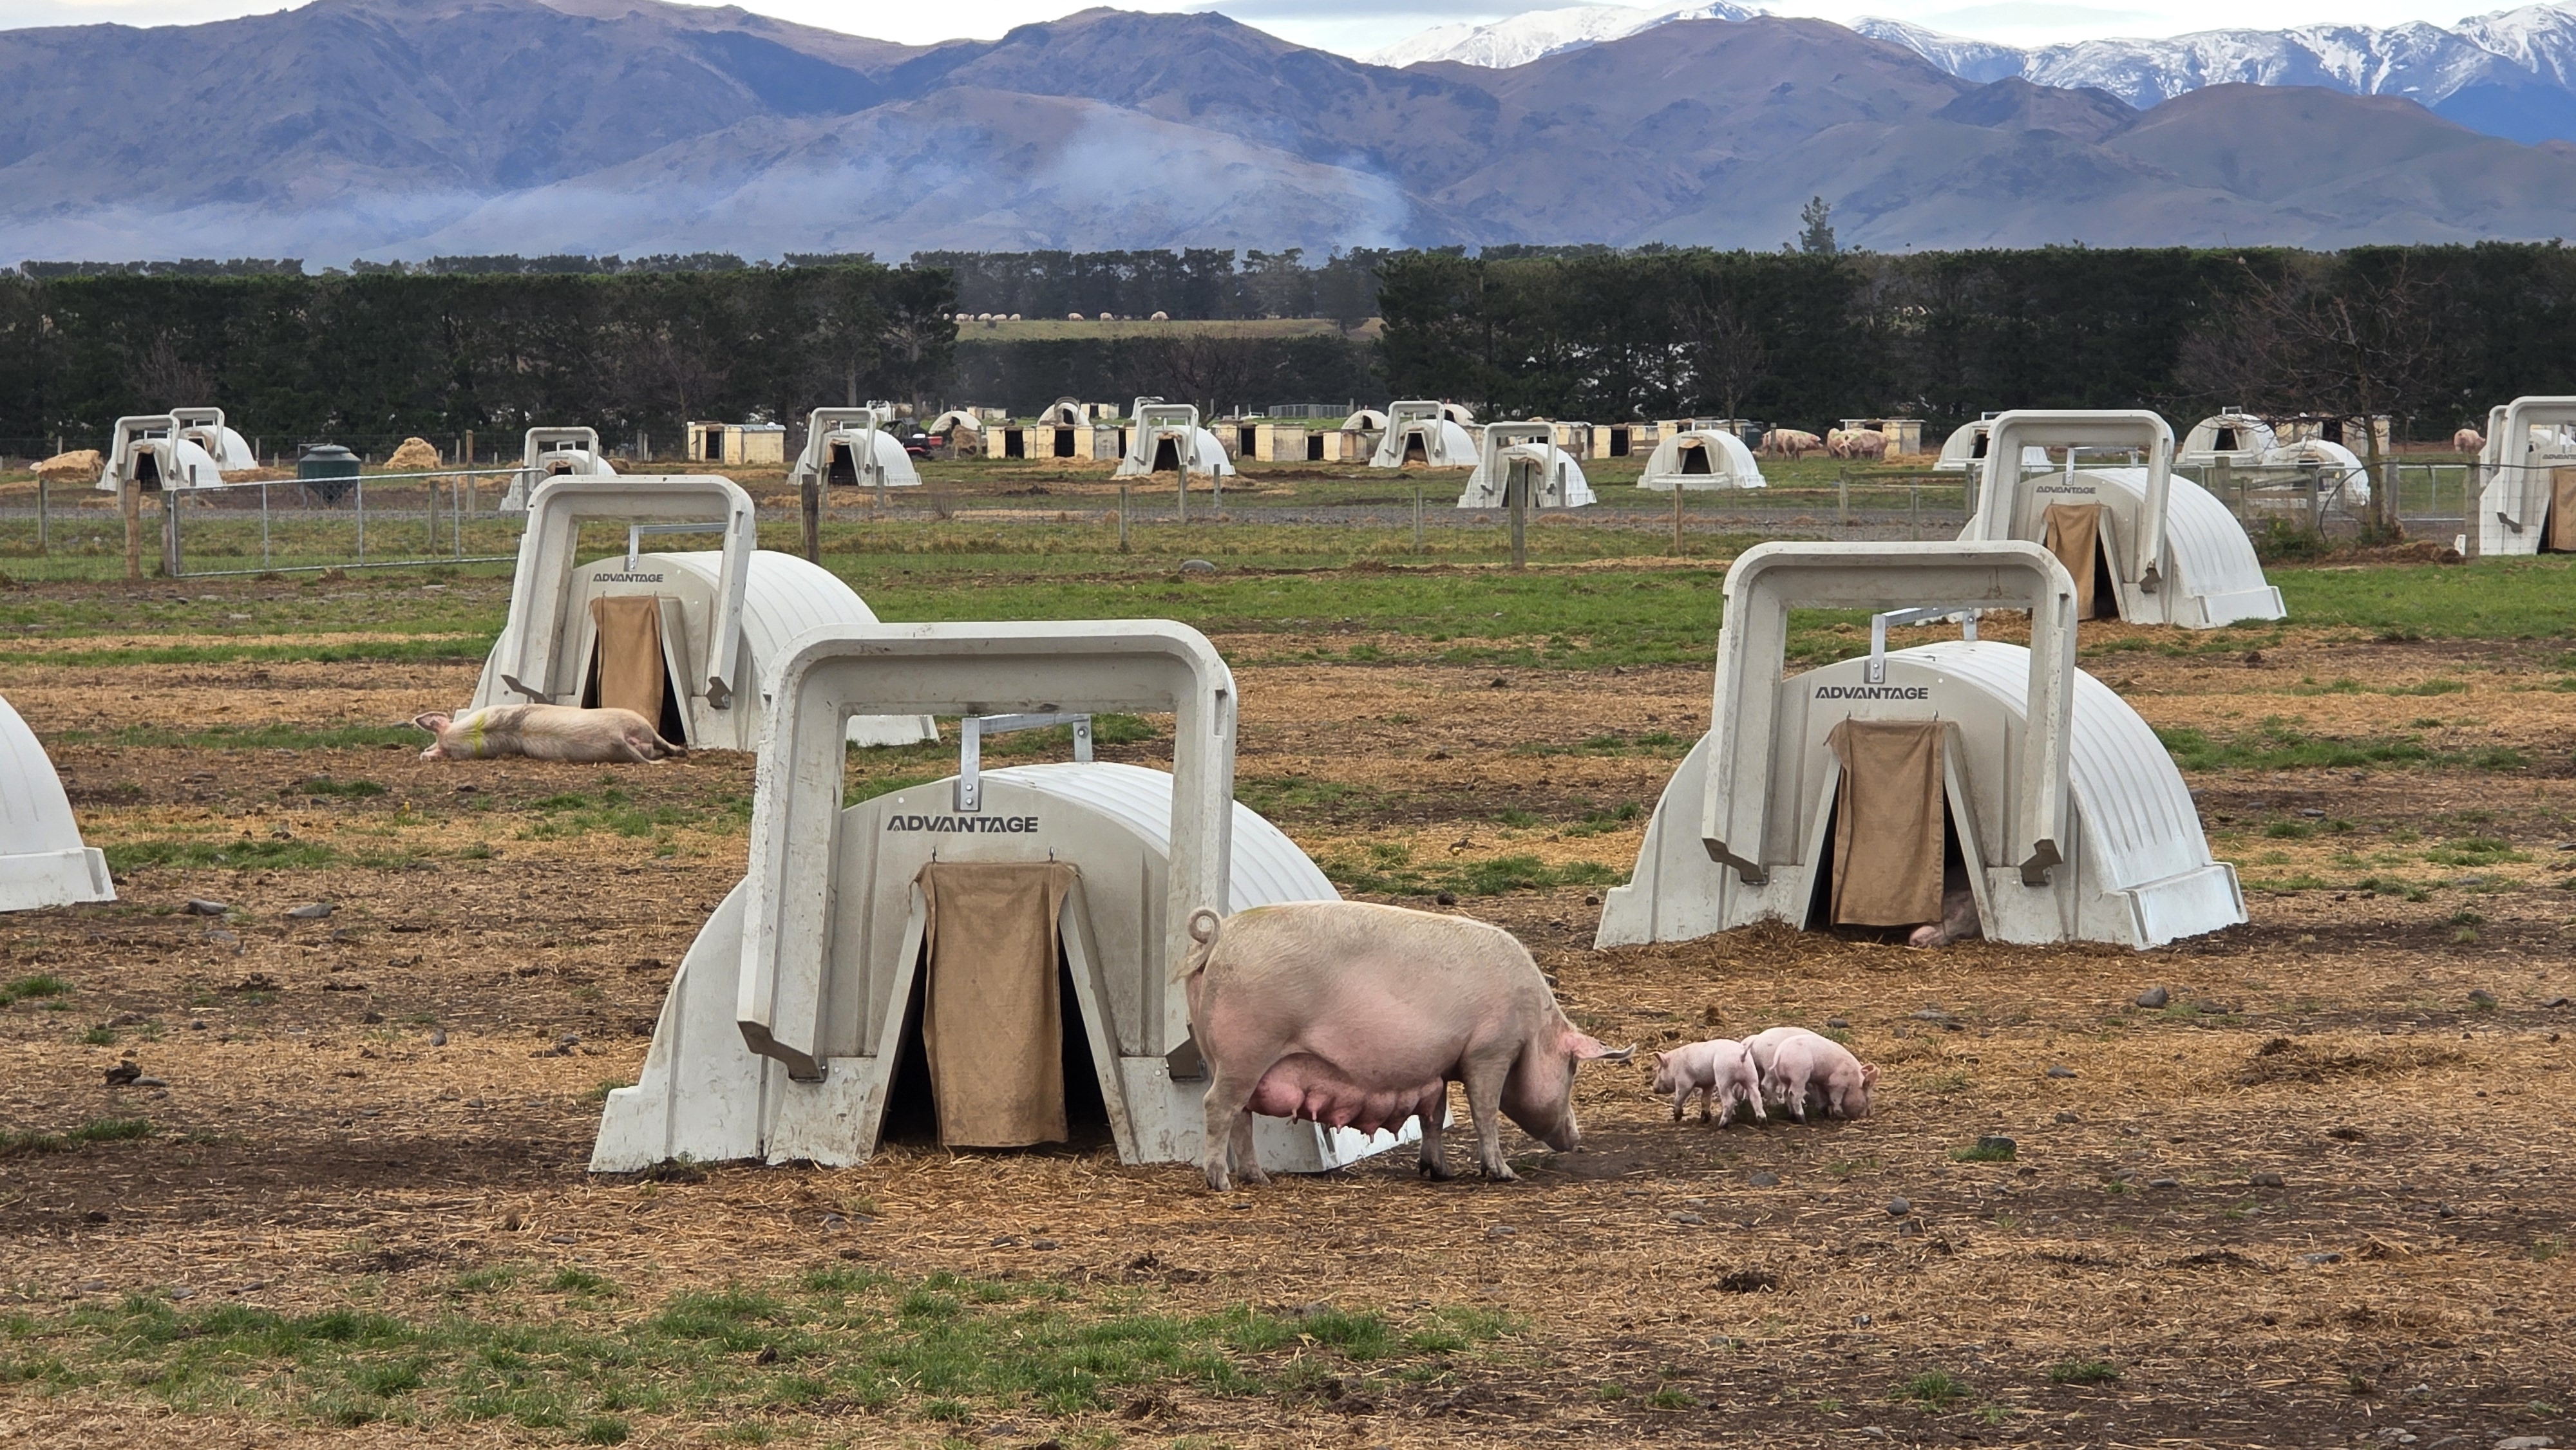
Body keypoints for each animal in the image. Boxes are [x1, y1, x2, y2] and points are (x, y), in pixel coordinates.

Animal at [1181, 900, 1631, 1191]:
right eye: (1572, 1069)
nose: (1576, 1138)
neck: (1533, 1026)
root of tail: (1219, 939)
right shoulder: (1489, 1051)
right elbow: (1484, 1112)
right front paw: (1503, 1174)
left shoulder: (1441, 1066)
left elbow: (1435, 1116)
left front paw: (1439, 1172)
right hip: (1247, 1051)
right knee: (1217, 1107)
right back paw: (1220, 1183)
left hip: (1219, 1054)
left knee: (1241, 1117)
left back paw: (1257, 1179)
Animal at [1651, 1038, 1766, 1126]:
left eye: (1658, 1071)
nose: (1653, 1089)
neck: (1673, 1065)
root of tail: (1742, 1055)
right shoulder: (1708, 1084)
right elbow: (1705, 1100)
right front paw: (1705, 1119)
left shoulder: (1684, 1081)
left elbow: (1679, 1098)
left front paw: (1677, 1119)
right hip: (1751, 1077)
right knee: (1756, 1098)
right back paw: (1763, 1123)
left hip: (1723, 1078)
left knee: (1729, 1101)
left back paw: (1721, 1125)